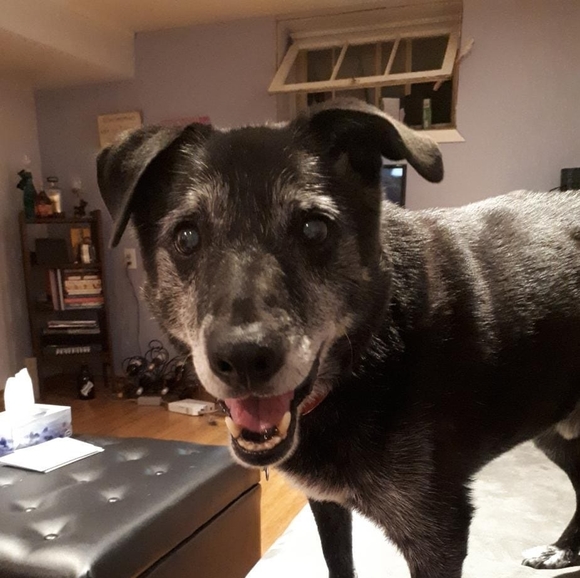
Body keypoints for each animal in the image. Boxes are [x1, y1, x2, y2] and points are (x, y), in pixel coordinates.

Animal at [97, 99, 580, 578]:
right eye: (186, 236)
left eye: (314, 229)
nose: (245, 358)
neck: (372, 352)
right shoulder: (326, 503)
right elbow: (338, 563)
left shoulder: (438, 534)